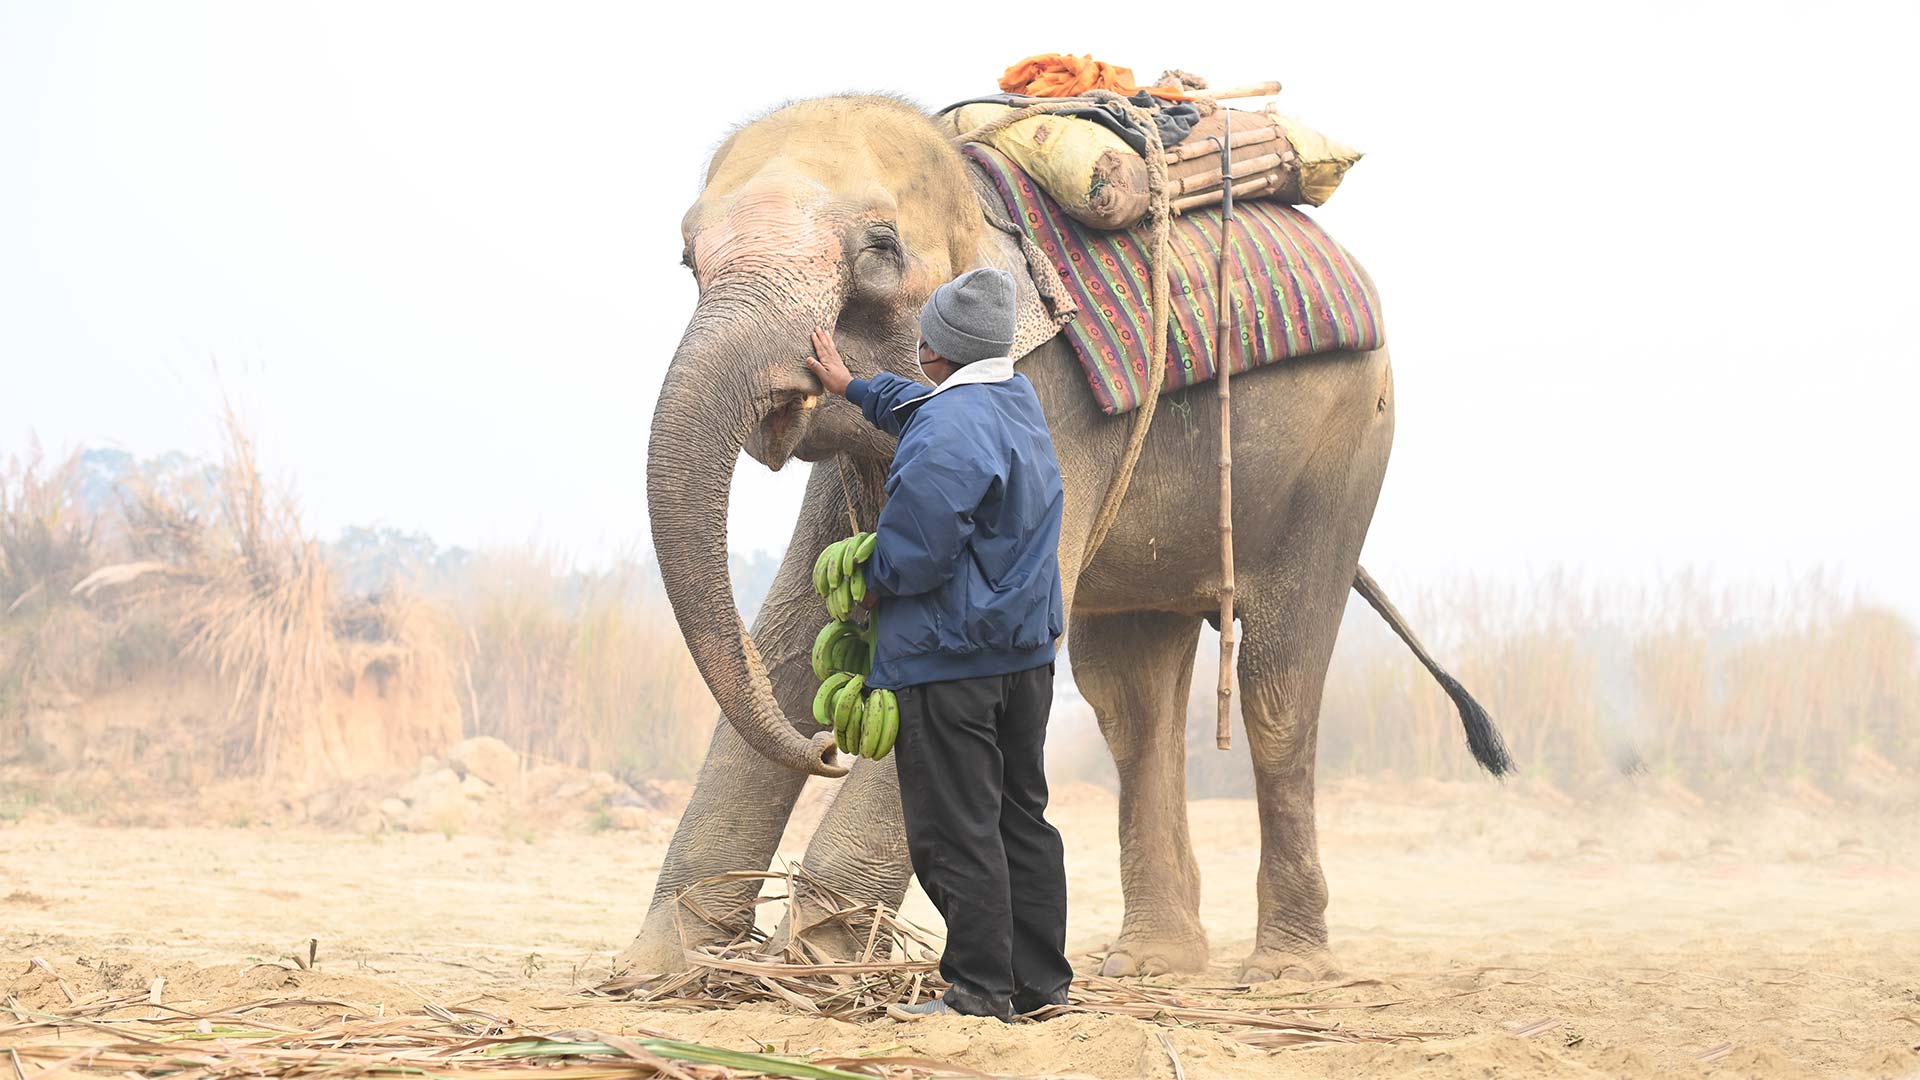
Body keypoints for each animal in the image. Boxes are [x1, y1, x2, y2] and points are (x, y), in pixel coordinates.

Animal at [622, 96, 1505, 980]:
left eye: (878, 249)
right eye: (688, 260)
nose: (827, 750)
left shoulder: (1051, 409)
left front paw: (822, 963)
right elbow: (786, 631)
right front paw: (666, 965)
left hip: (1342, 457)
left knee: (1277, 687)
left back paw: (1284, 969)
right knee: (1130, 700)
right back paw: (1152, 963)